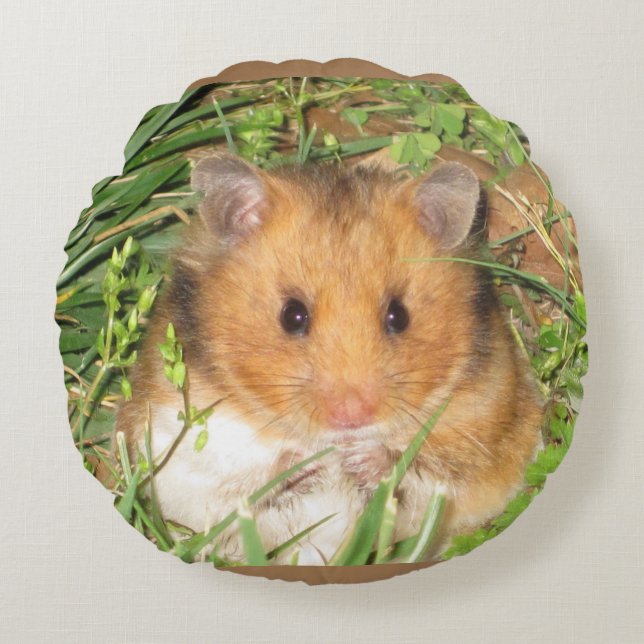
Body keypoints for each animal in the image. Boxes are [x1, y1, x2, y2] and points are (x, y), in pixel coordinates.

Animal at [114, 153, 544, 564]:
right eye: (292, 315)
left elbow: (431, 473)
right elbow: (232, 472)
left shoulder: (485, 431)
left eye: (399, 316)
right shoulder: (175, 438)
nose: (351, 418)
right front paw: (309, 464)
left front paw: (361, 461)